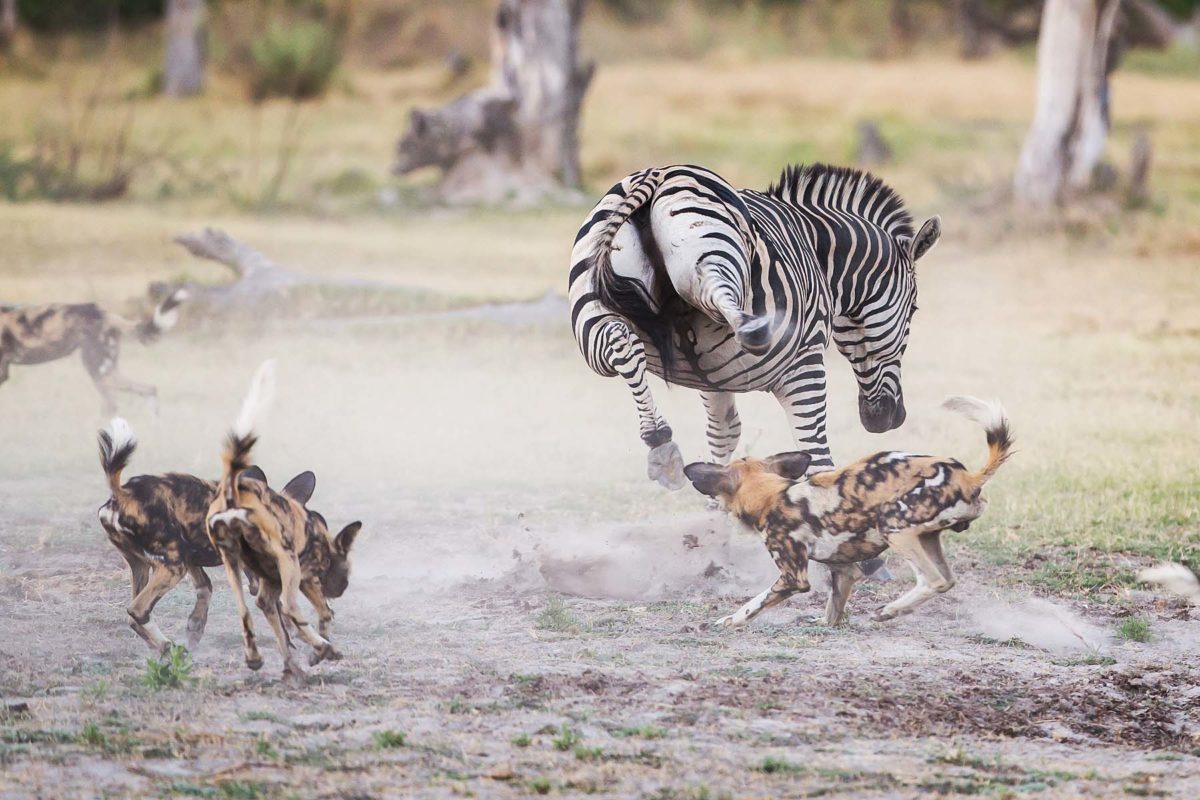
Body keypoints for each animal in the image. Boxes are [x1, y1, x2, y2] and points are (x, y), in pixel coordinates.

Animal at [96, 417, 270, 652]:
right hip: (173, 567)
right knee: (138, 610)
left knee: (134, 616)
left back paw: (164, 648)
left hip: (146, 564)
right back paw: (168, 647)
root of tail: (123, 495)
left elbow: (205, 589)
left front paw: (195, 628)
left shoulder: (192, 559)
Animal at [206, 362, 360, 681]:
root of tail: (234, 492)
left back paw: (260, 659)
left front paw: (296, 660)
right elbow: (323, 614)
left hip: (232, 563)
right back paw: (323, 649)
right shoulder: (306, 577)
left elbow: (275, 616)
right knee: (289, 609)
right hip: (288, 564)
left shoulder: (269, 582)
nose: (342, 588)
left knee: (247, 610)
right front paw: (321, 648)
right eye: (347, 570)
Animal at [566, 163, 940, 489]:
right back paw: (756, 332)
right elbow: (817, 455)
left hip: (589, 314)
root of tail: (656, 175)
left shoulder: (713, 378)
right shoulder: (806, 365)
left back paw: (660, 442)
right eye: (914, 309)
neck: (820, 256)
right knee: (729, 309)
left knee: (620, 341)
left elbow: (723, 434)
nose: (890, 418)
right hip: (711, 253)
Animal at [686, 398, 1012, 628]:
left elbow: (751, 605)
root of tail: (967, 476)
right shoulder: (844, 570)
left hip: (892, 525)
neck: (772, 495)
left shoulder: (792, 577)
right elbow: (833, 609)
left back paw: (887, 611)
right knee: (948, 579)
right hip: (926, 537)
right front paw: (824, 623)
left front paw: (729, 621)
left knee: (934, 580)